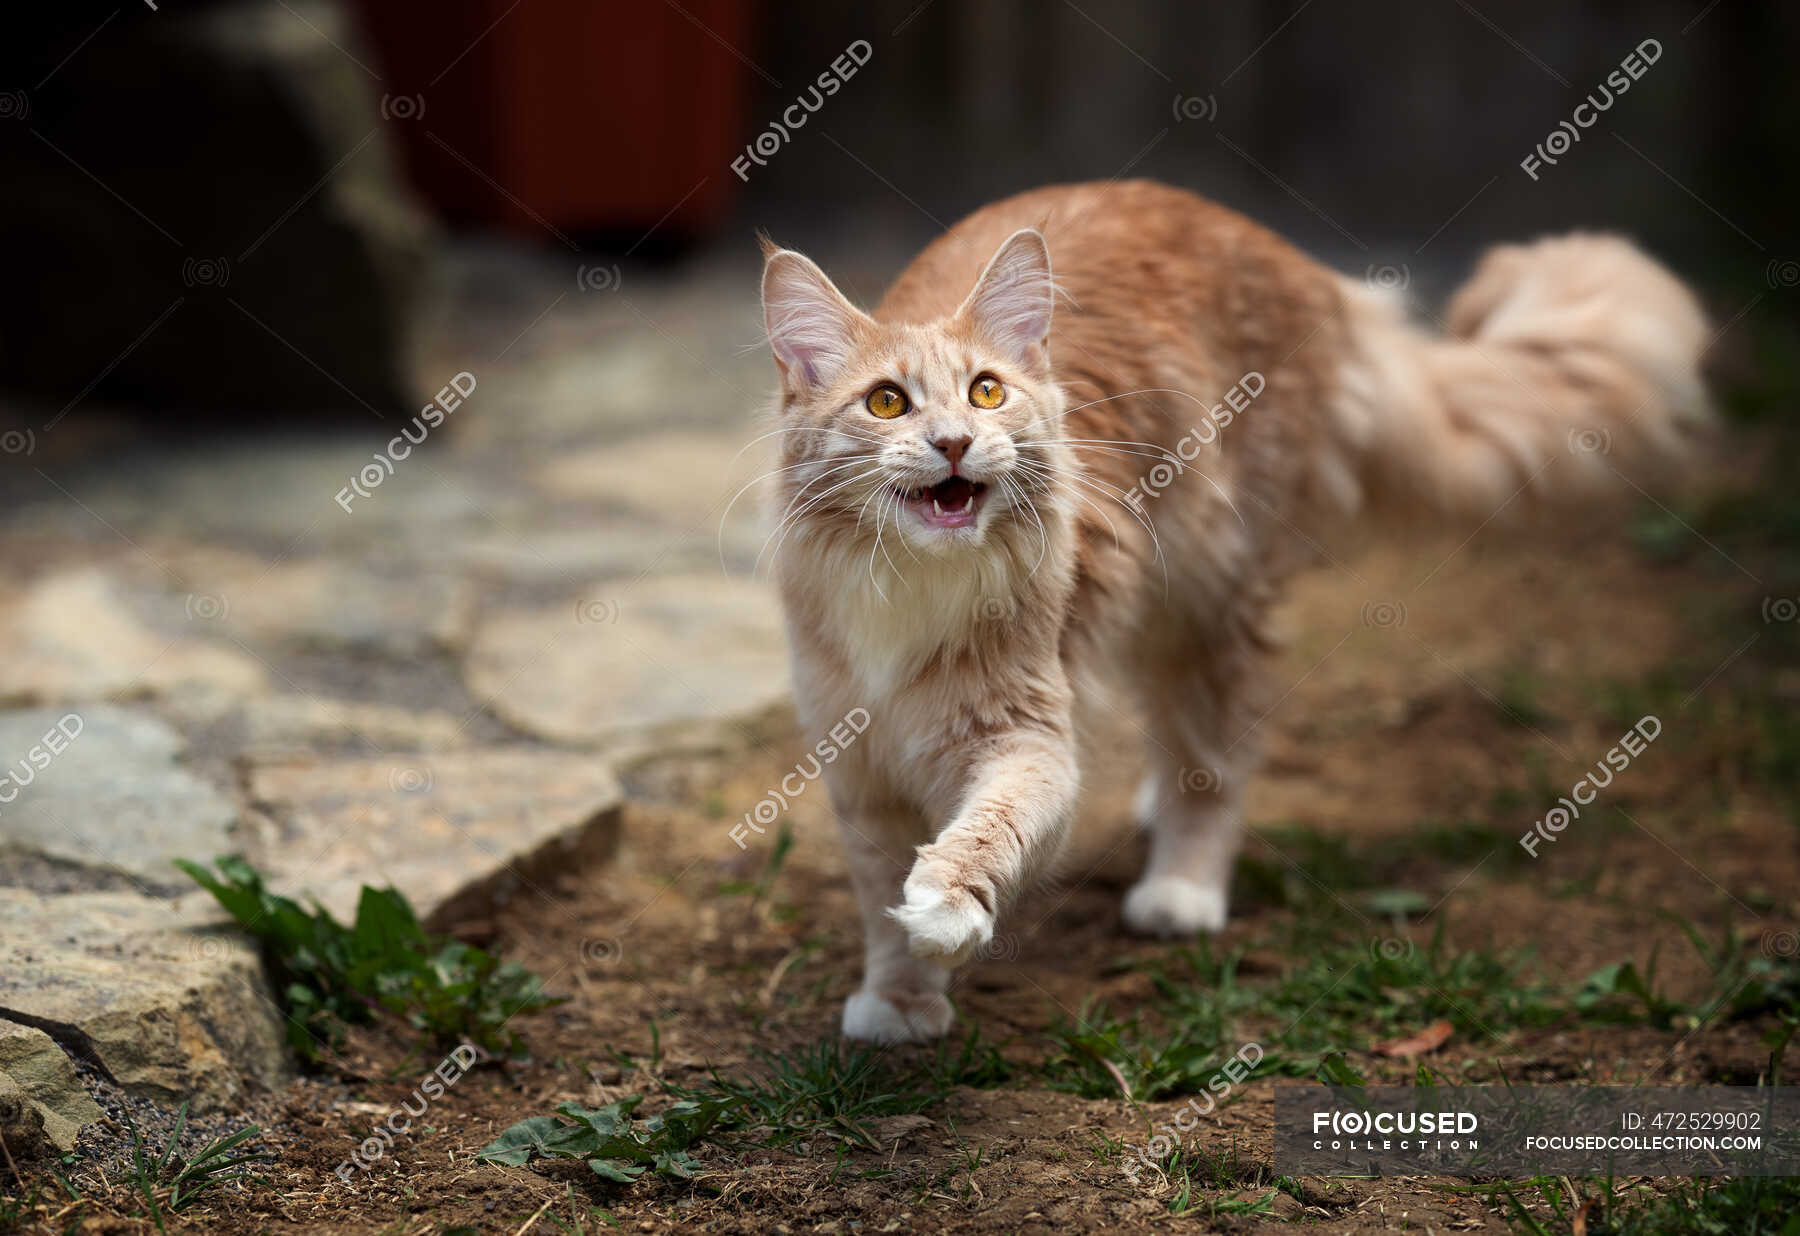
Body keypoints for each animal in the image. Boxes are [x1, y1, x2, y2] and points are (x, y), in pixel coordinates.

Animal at [752, 176, 1706, 1043]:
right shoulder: (860, 769)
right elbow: (879, 905)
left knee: (1213, 763)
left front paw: (946, 910)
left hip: (1212, 602)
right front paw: (900, 1004)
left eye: (986, 392)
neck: (910, 584)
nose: (953, 442)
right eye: (887, 402)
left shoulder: (1028, 739)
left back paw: (1181, 890)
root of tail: (1295, 261)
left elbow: (988, 831)